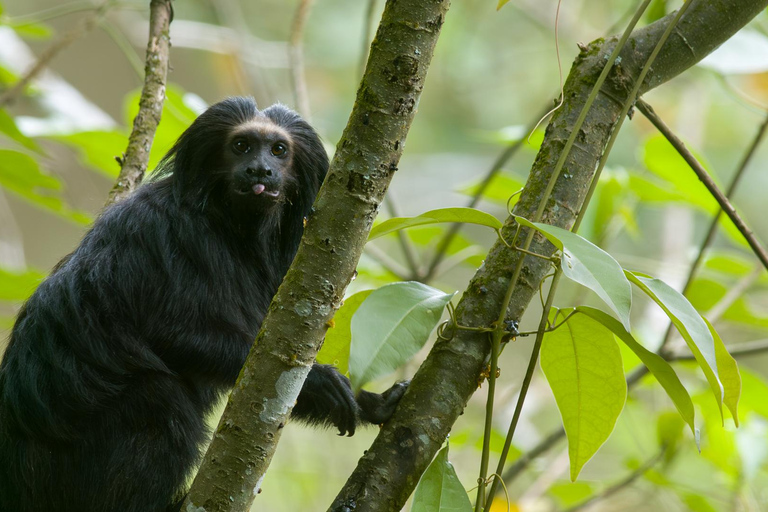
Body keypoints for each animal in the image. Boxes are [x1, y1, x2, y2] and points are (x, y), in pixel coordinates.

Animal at [0, 97, 408, 512]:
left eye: (278, 150)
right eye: (242, 146)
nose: (260, 169)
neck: (231, 226)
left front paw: (370, 402)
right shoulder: (169, 235)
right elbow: (169, 334)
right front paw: (319, 382)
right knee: (162, 403)